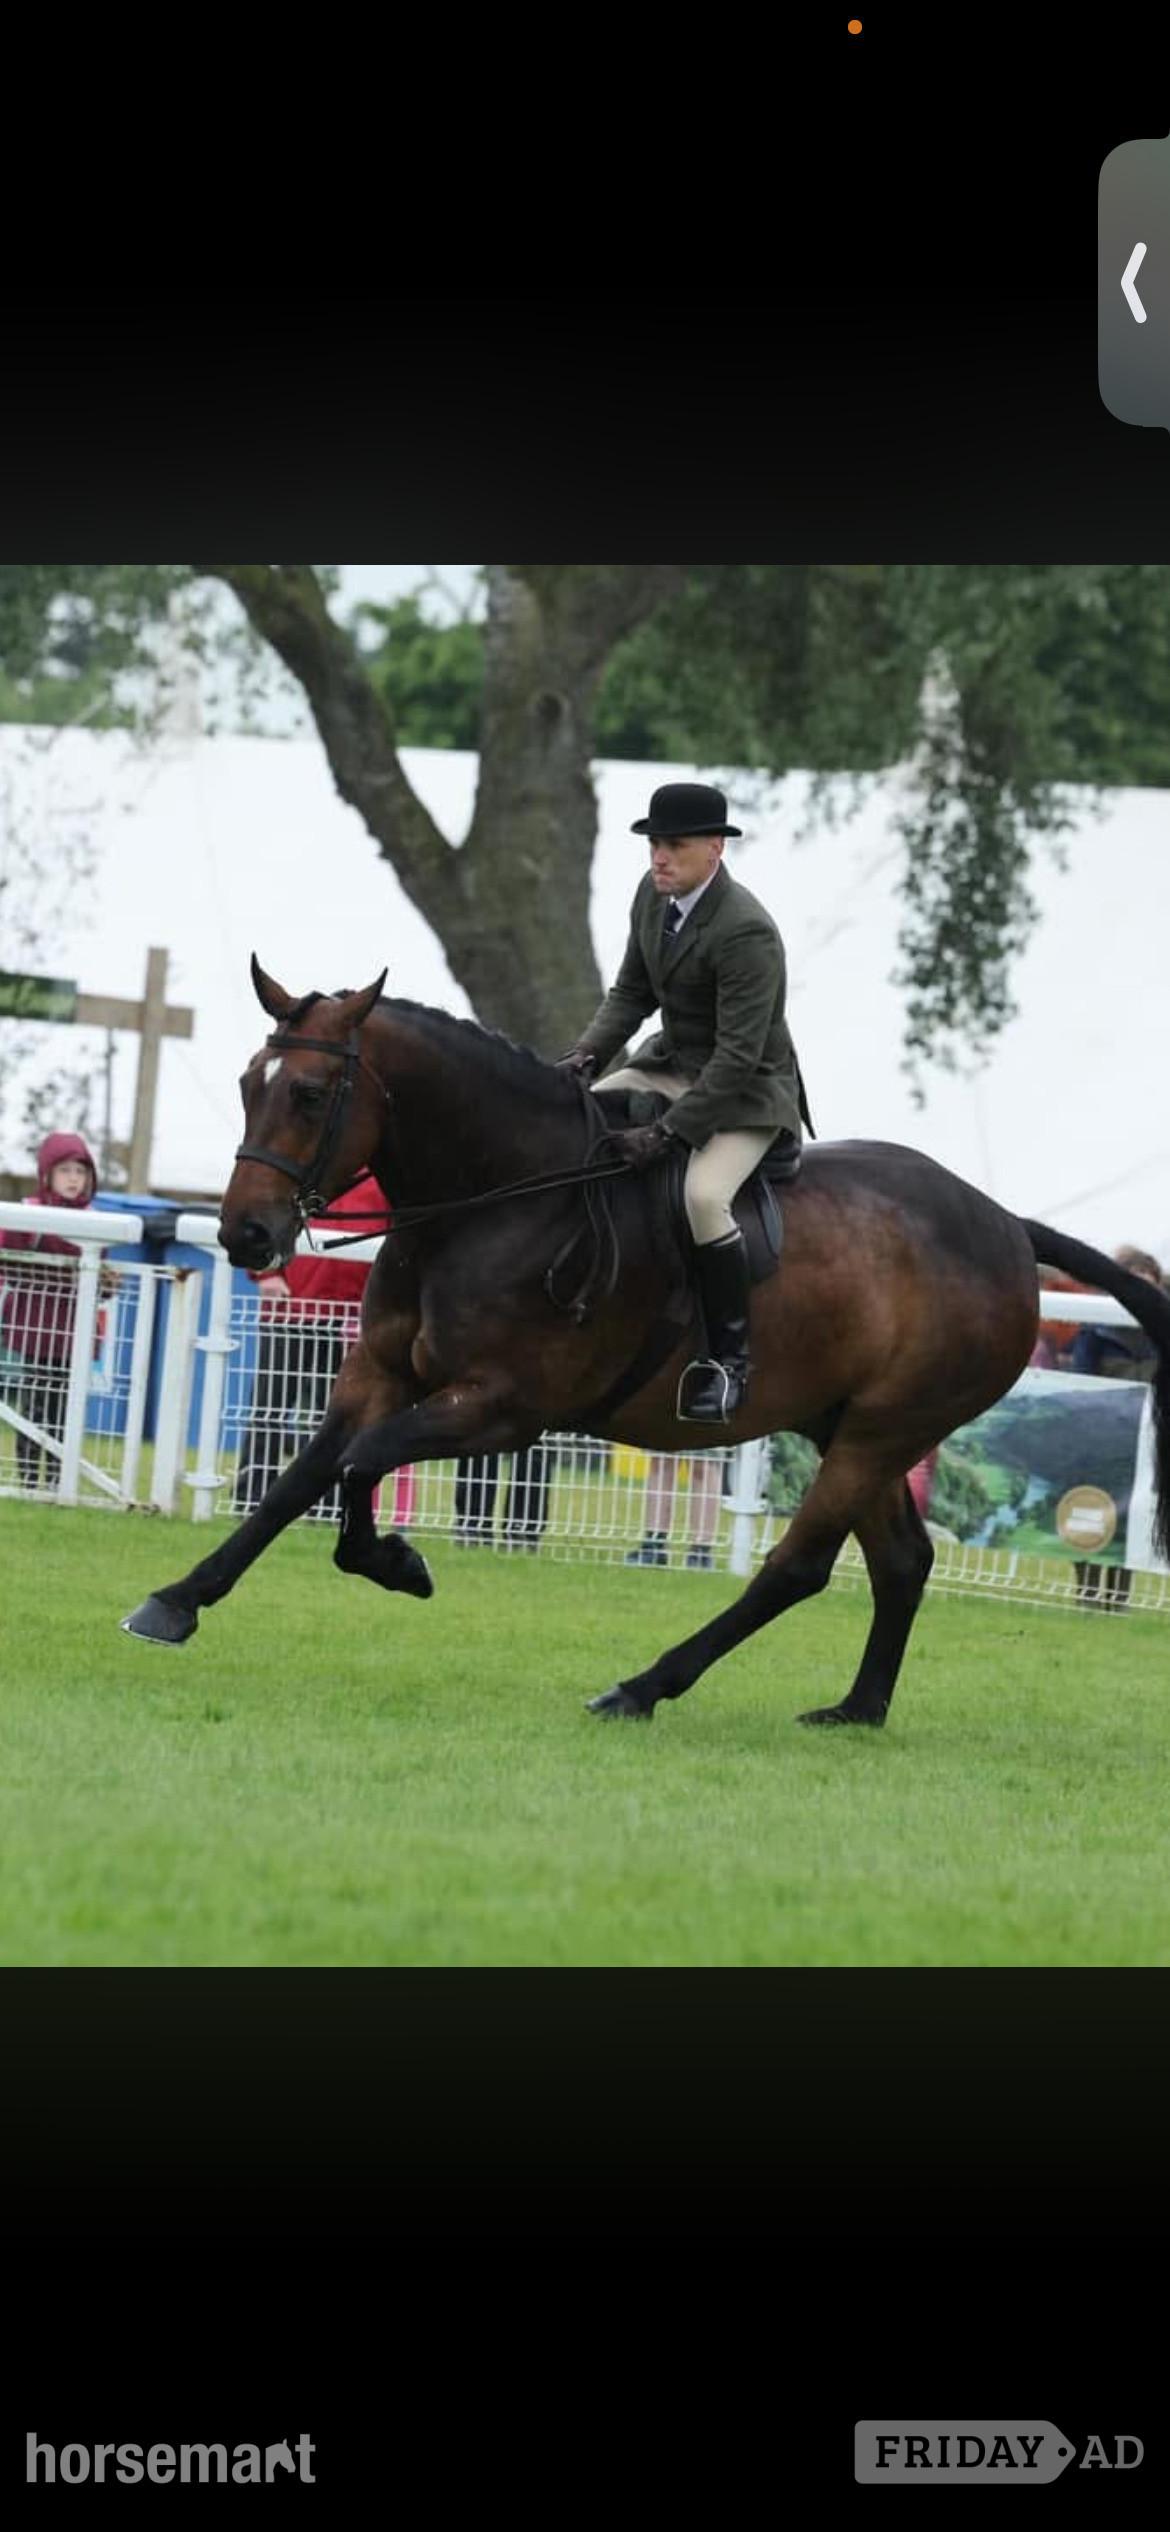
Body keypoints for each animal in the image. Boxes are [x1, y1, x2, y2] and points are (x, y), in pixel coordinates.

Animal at [121, 961, 1170, 1728]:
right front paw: (177, 1600)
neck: (491, 1202)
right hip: (849, 1429)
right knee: (902, 1562)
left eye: (307, 1093)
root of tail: (1007, 1227)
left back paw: (642, 1687)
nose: (245, 1236)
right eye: (248, 1085)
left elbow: (361, 1467)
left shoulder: (500, 1410)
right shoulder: (376, 1376)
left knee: (799, 1568)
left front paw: (397, 1564)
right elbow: (300, 1477)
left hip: (884, 1429)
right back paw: (856, 1710)